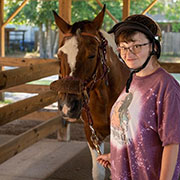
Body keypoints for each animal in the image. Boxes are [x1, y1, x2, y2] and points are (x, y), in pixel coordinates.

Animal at [50, 5, 130, 180]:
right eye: (60, 55)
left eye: (92, 55)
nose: (67, 106)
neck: (105, 98)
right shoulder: (91, 133)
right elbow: (98, 172)